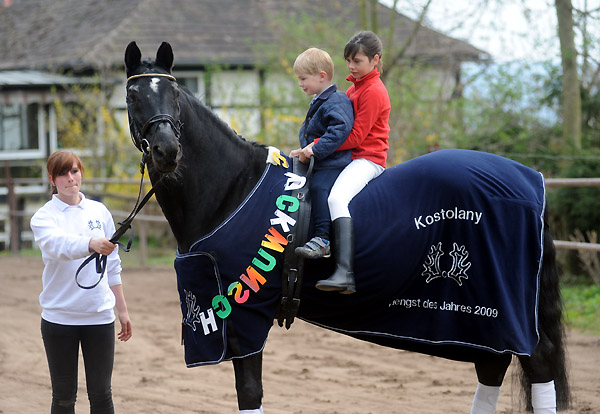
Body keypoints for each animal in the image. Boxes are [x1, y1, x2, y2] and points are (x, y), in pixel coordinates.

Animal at [124, 42, 568, 414]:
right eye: (132, 97)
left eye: (174, 95)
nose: (167, 151)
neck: (236, 187)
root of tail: (530, 181)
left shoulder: (243, 316)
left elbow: (249, 393)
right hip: (483, 319)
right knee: (492, 367)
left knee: (538, 362)